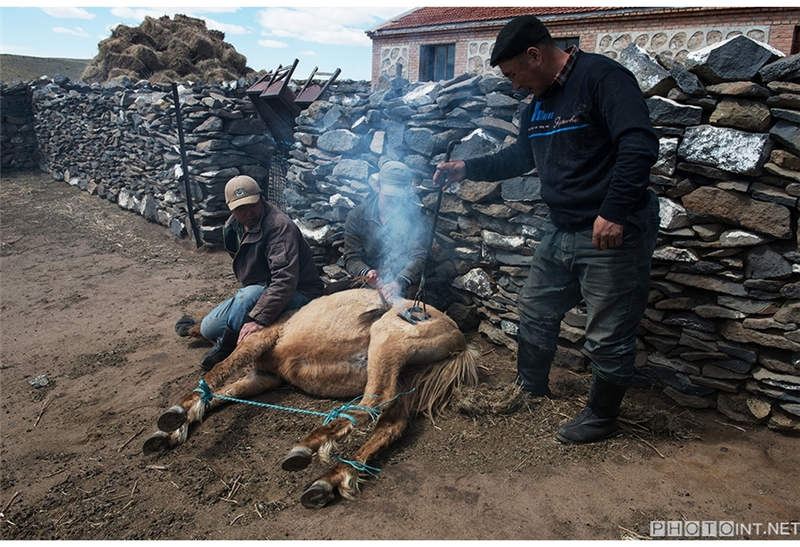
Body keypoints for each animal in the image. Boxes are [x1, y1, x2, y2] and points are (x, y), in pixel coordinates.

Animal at [144, 288, 478, 508]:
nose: (185, 326)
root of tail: (457, 338)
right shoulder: (263, 378)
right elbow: (223, 395)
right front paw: (170, 432)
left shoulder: (259, 340)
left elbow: (219, 372)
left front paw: (174, 415)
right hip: (405, 378)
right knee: (390, 424)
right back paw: (330, 480)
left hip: (387, 344)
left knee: (372, 403)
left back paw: (306, 448)